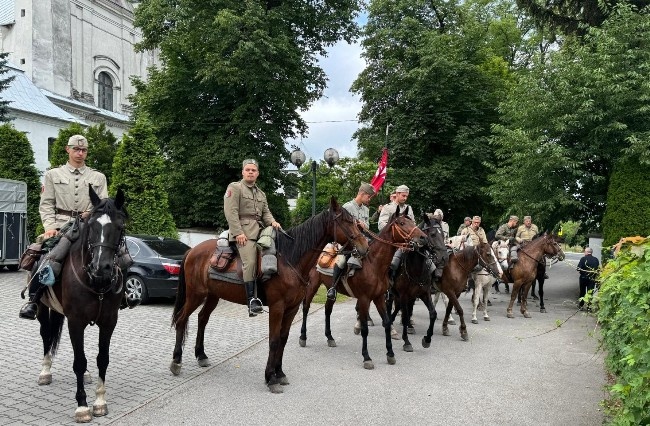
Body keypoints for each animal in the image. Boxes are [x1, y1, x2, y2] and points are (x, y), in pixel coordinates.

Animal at [33, 186, 128, 422]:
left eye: (119, 226)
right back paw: (45, 371)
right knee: (46, 335)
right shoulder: (75, 322)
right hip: (42, 309)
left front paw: (100, 401)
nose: (101, 267)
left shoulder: (108, 322)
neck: (96, 282)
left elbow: (102, 359)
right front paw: (83, 406)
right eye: (92, 225)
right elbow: (79, 361)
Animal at [170, 199, 368, 392]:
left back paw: (201, 355)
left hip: (212, 296)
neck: (290, 259)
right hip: (195, 295)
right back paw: (176, 361)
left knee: (202, 319)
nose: (364, 246)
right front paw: (270, 378)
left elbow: (283, 339)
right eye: (346, 221)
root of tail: (192, 251)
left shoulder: (292, 308)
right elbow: (273, 340)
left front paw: (279, 373)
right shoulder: (277, 307)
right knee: (181, 319)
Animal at [298, 206, 426, 370]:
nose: (423, 237)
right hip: (312, 285)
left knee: (327, 310)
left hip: (331, 290)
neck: (374, 263)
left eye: (412, 221)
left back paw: (330, 337)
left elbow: (387, 323)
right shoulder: (365, 299)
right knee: (306, 307)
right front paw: (367, 357)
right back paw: (303, 337)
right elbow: (365, 328)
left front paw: (390, 354)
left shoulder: (379, 298)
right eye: (402, 223)